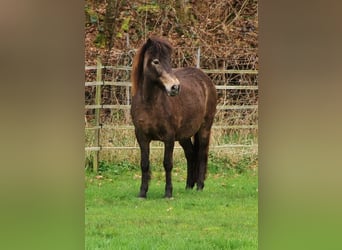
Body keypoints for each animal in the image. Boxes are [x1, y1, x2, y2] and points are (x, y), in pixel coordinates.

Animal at [131, 37, 216, 198]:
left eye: (169, 61)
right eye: (156, 61)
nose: (175, 87)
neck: (150, 104)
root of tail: (205, 78)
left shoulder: (169, 137)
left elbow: (167, 164)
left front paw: (168, 193)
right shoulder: (141, 136)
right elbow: (144, 164)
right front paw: (142, 193)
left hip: (204, 129)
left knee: (202, 153)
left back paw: (199, 186)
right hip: (184, 135)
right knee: (191, 154)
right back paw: (189, 186)